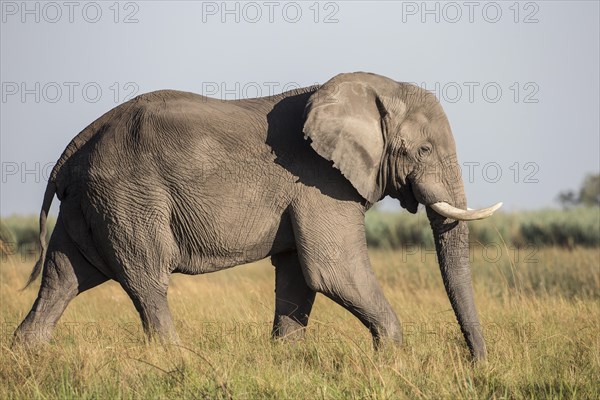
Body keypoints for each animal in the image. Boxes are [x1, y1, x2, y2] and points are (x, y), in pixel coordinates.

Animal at [14, 71, 502, 360]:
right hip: (128, 199)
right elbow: (332, 269)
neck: (368, 89)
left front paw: (287, 363)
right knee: (146, 281)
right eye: (424, 150)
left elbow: (299, 278)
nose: (474, 362)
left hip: (90, 204)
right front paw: (393, 360)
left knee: (63, 277)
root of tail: (73, 150)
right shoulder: (319, 182)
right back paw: (176, 361)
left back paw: (27, 357)